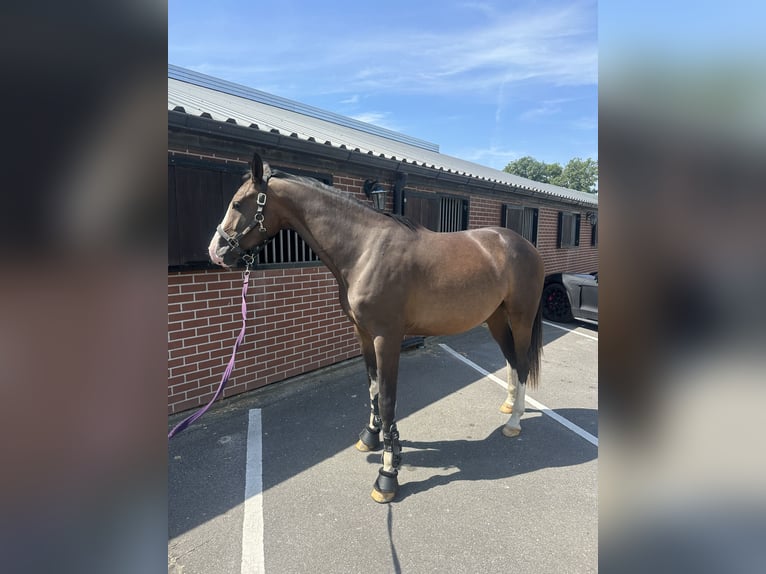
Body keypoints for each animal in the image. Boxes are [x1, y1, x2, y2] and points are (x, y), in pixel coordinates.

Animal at [210, 153, 544, 504]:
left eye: (237, 204)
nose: (215, 251)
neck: (365, 250)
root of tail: (524, 245)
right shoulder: (363, 334)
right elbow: (372, 387)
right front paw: (374, 438)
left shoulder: (387, 338)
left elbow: (386, 399)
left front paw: (387, 475)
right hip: (496, 319)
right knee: (510, 360)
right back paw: (509, 404)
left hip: (521, 318)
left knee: (522, 363)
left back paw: (514, 421)